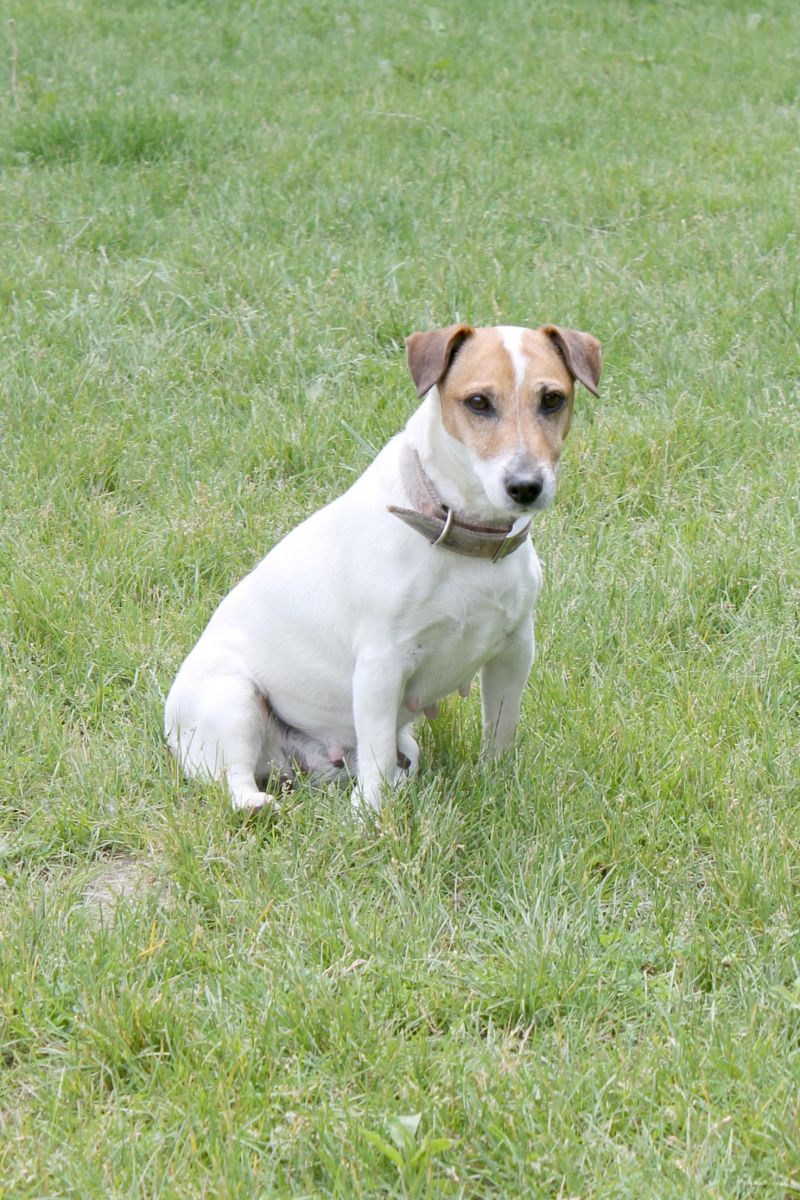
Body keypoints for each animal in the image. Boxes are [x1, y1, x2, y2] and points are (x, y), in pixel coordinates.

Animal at [164, 319, 599, 811]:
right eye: (478, 402)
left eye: (552, 399)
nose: (525, 486)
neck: (459, 529)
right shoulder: (380, 666)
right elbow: (374, 753)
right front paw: (371, 816)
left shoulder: (514, 650)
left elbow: (500, 728)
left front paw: (498, 781)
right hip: (232, 700)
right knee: (234, 779)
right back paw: (260, 804)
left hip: (398, 741)